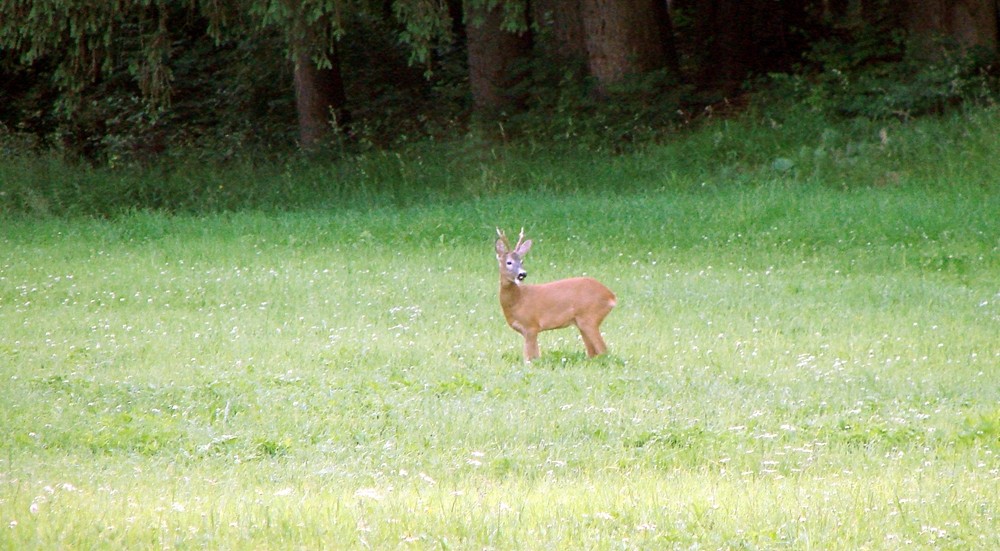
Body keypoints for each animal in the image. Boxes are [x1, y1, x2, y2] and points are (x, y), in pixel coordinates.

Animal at [494, 227, 612, 362]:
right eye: (509, 262)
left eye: (522, 261)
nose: (522, 274)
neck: (518, 300)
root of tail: (611, 296)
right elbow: (535, 356)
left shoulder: (531, 325)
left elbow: (529, 358)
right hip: (582, 323)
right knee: (593, 352)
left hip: (590, 317)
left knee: (603, 350)